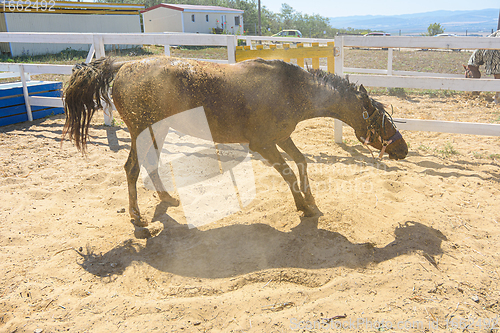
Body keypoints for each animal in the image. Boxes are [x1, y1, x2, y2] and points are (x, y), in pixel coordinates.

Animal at [62, 56, 408, 228]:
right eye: (381, 118)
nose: (403, 149)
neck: (291, 89)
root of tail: (121, 66)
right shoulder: (263, 145)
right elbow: (288, 172)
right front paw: (303, 207)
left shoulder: (281, 137)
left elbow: (301, 162)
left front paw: (310, 200)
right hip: (142, 131)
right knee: (132, 168)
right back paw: (137, 216)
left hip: (157, 132)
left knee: (149, 165)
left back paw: (167, 197)